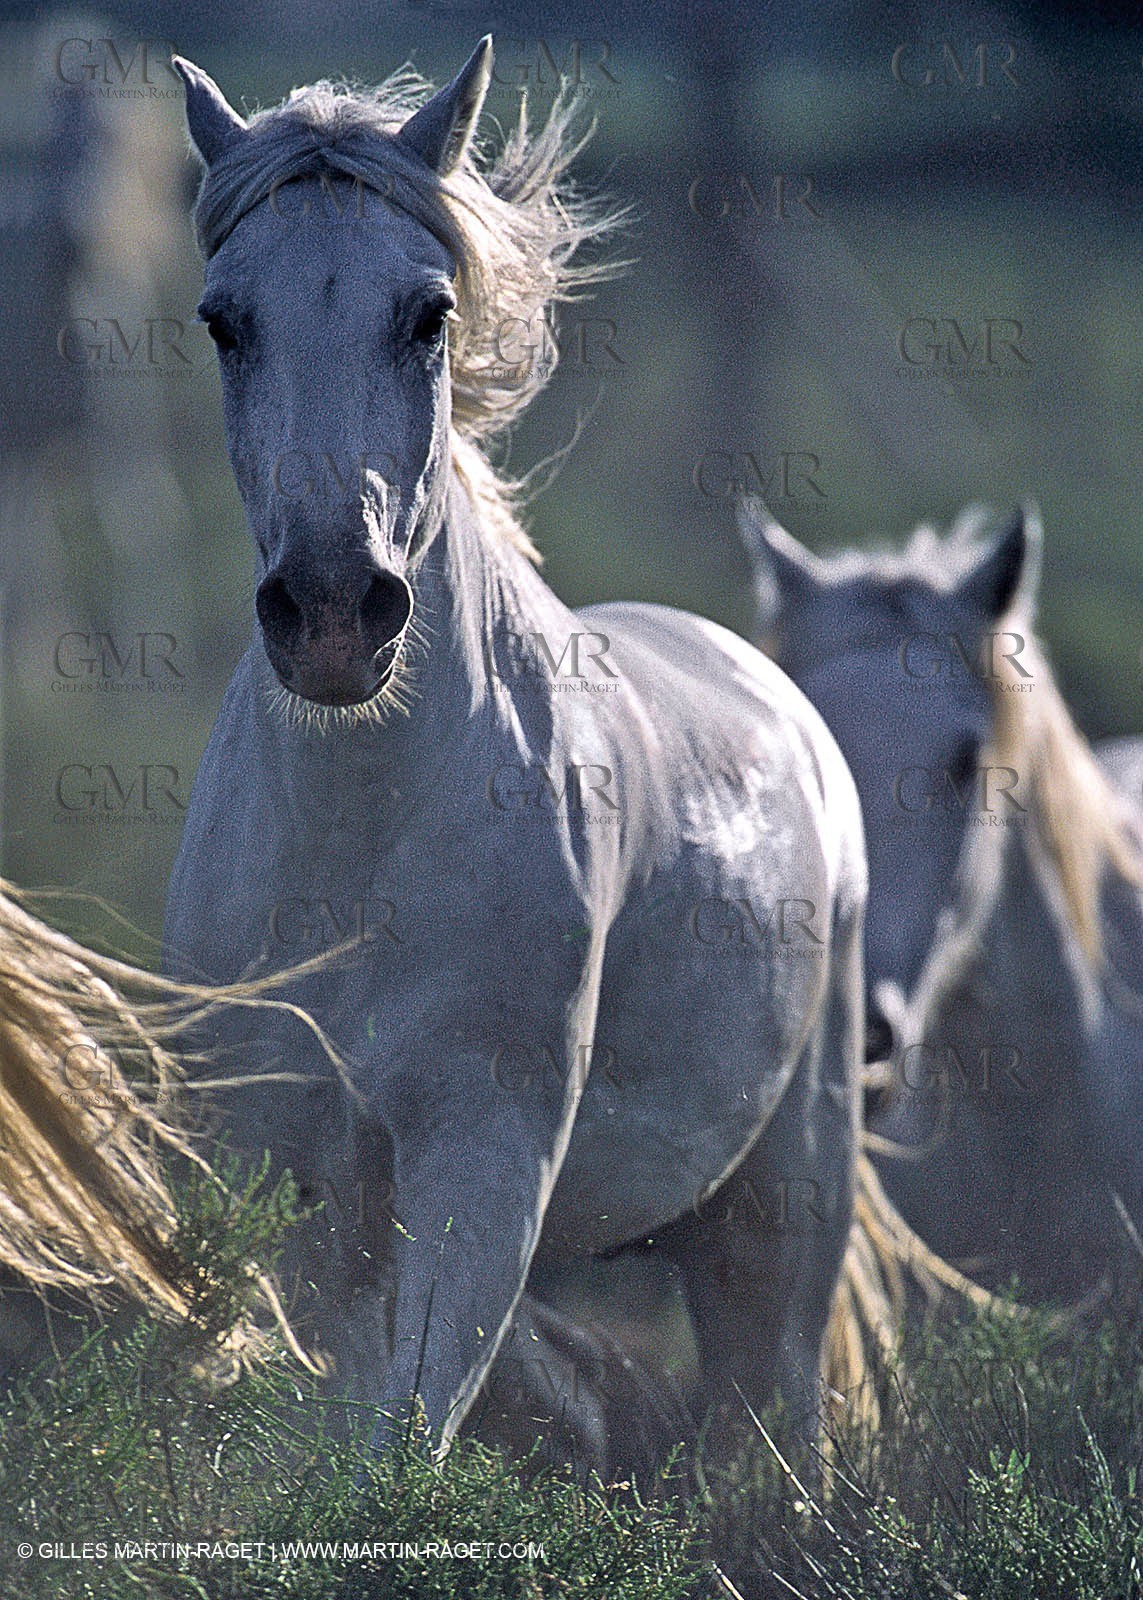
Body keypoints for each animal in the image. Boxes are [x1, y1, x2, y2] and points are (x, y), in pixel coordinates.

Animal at [161, 40, 869, 1458]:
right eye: (224, 321)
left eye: (429, 314)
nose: (334, 608)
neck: (357, 851)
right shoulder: (281, 1173)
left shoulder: (483, 1158)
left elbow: (397, 1445)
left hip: (781, 1218)